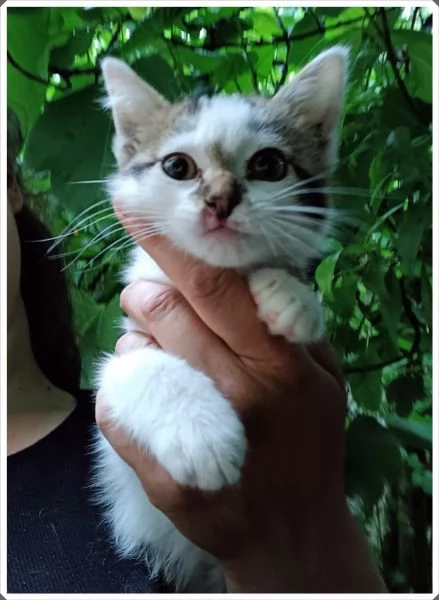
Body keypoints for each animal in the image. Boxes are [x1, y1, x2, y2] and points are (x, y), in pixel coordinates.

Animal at [94, 47, 348, 592]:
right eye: (177, 166)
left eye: (268, 164)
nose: (220, 199)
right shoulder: (122, 354)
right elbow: (134, 368)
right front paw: (201, 433)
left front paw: (292, 295)